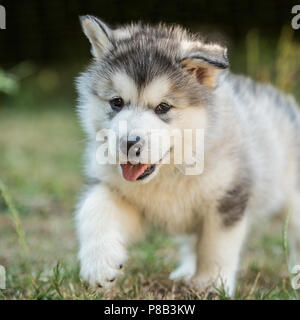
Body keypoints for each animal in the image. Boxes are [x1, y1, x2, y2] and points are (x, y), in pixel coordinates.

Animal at [75, 15, 300, 296]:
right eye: (116, 102)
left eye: (163, 107)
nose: (128, 144)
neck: (171, 171)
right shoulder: (118, 190)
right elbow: (93, 207)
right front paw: (99, 263)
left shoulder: (228, 197)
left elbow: (216, 246)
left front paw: (211, 283)